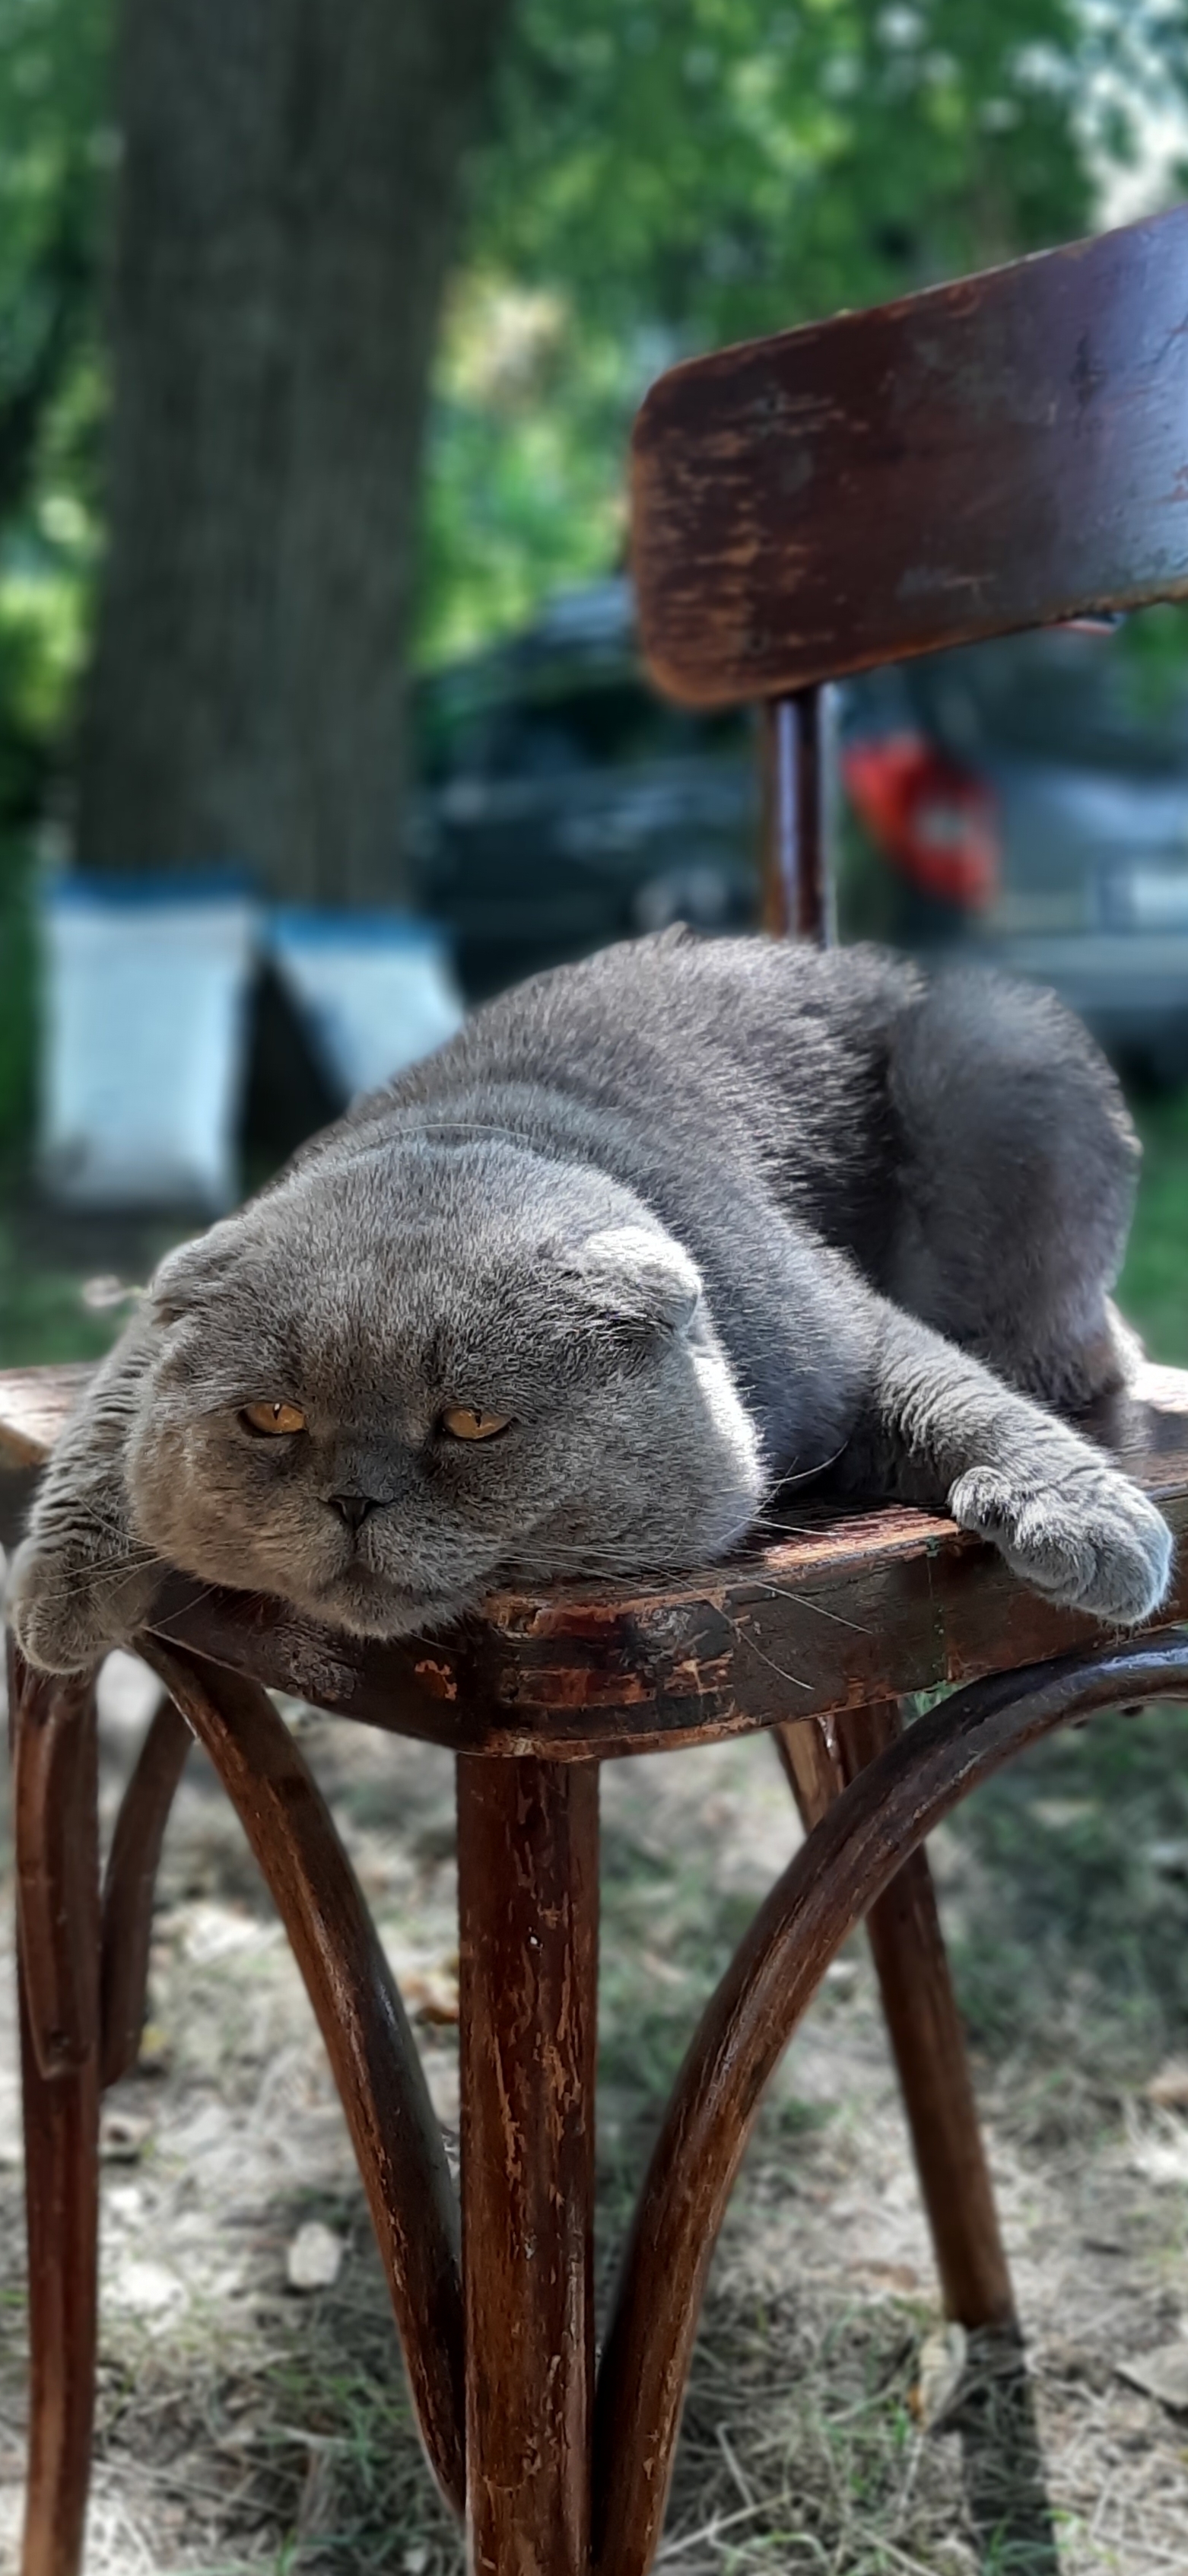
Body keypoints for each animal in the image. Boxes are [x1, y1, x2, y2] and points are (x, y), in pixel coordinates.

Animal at [7, 927, 1175, 1669]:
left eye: (473, 1422)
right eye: (272, 1416)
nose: (352, 1499)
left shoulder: (847, 1328)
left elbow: (956, 1393)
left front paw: (1094, 1523)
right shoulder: (155, 1320)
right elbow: (107, 1418)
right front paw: (56, 1599)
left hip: (991, 1041)